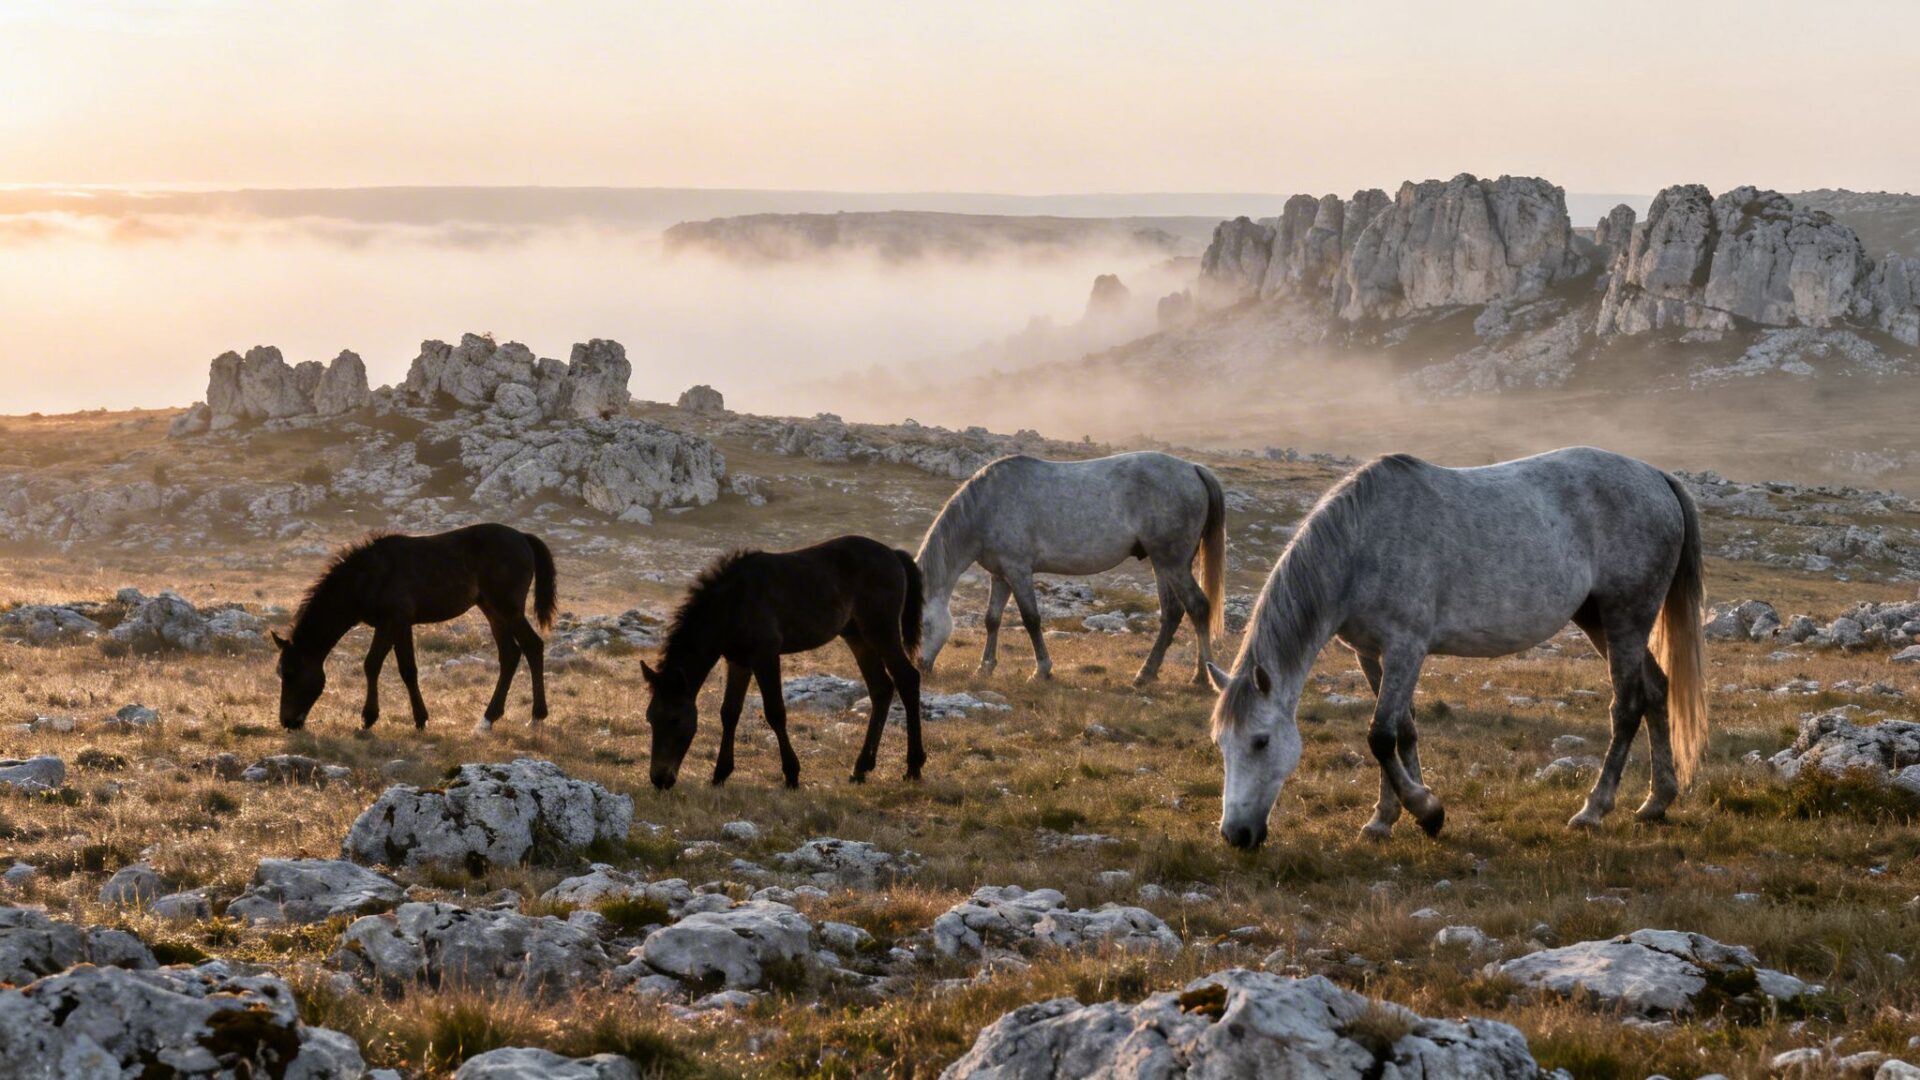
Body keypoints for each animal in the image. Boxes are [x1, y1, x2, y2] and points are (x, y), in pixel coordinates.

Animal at [272, 524, 556, 732]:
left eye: (291, 673)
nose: (287, 722)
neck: (366, 577)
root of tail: (523, 537)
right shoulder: (385, 625)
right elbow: (371, 664)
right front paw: (368, 718)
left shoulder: (399, 622)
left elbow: (407, 669)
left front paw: (420, 719)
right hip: (492, 611)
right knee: (510, 655)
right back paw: (488, 719)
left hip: (508, 609)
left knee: (533, 646)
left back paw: (536, 716)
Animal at [642, 535, 924, 790]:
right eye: (650, 718)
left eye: (675, 720)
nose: (660, 779)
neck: (733, 603)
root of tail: (894, 554)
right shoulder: (738, 661)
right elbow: (729, 712)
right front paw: (720, 774)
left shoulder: (766, 655)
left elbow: (775, 712)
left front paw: (792, 774)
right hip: (857, 636)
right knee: (881, 688)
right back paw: (861, 768)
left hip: (881, 630)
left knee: (907, 678)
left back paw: (913, 767)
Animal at [915, 451, 1226, 686]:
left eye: (923, 624)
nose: (920, 666)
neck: (986, 507)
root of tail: (1194, 469)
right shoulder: (1000, 575)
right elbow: (992, 619)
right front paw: (984, 667)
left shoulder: (1018, 571)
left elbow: (1031, 619)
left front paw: (1041, 670)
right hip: (1163, 565)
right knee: (1173, 613)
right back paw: (1150, 674)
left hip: (1173, 564)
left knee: (1198, 606)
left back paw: (1202, 677)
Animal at [1208, 447, 1706, 848]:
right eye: (1220, 744)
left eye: (1261, 741)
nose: (1235, 835)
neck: (1362, 543)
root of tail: (1657, 477)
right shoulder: (1372, 654)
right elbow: (1403, 730)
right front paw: (1387, 819)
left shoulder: (1406, 648)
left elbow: (1381, 735)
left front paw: (1426, 810)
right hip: (1598, 620)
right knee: (1656, 690)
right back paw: (1657, 801)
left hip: (1626, 618)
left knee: (1627, 706)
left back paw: (1593, 810)